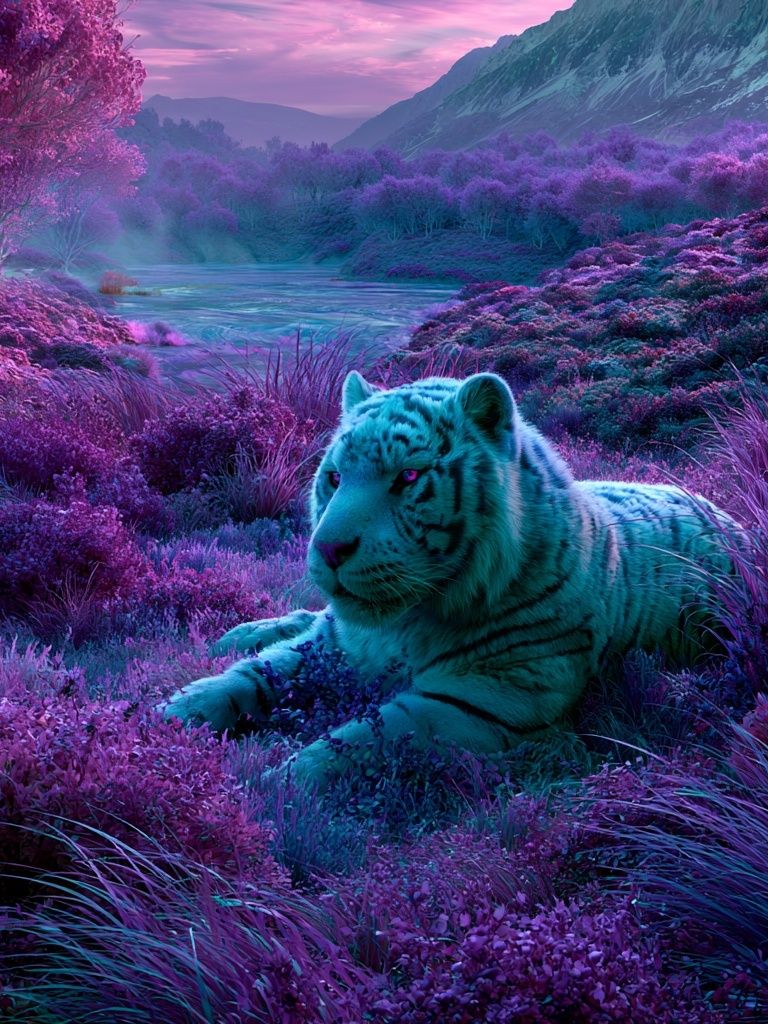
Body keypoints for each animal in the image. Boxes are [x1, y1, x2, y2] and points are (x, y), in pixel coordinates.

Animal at [162, 371, 741, 789]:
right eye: (333, 477)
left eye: (408, 477)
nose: (327, 549)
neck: (400, 623)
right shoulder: (335, 644)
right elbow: (255, 676)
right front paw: (170, 715)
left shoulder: (483, 700)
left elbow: (363, 738)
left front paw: (268, 789)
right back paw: (237, 633)